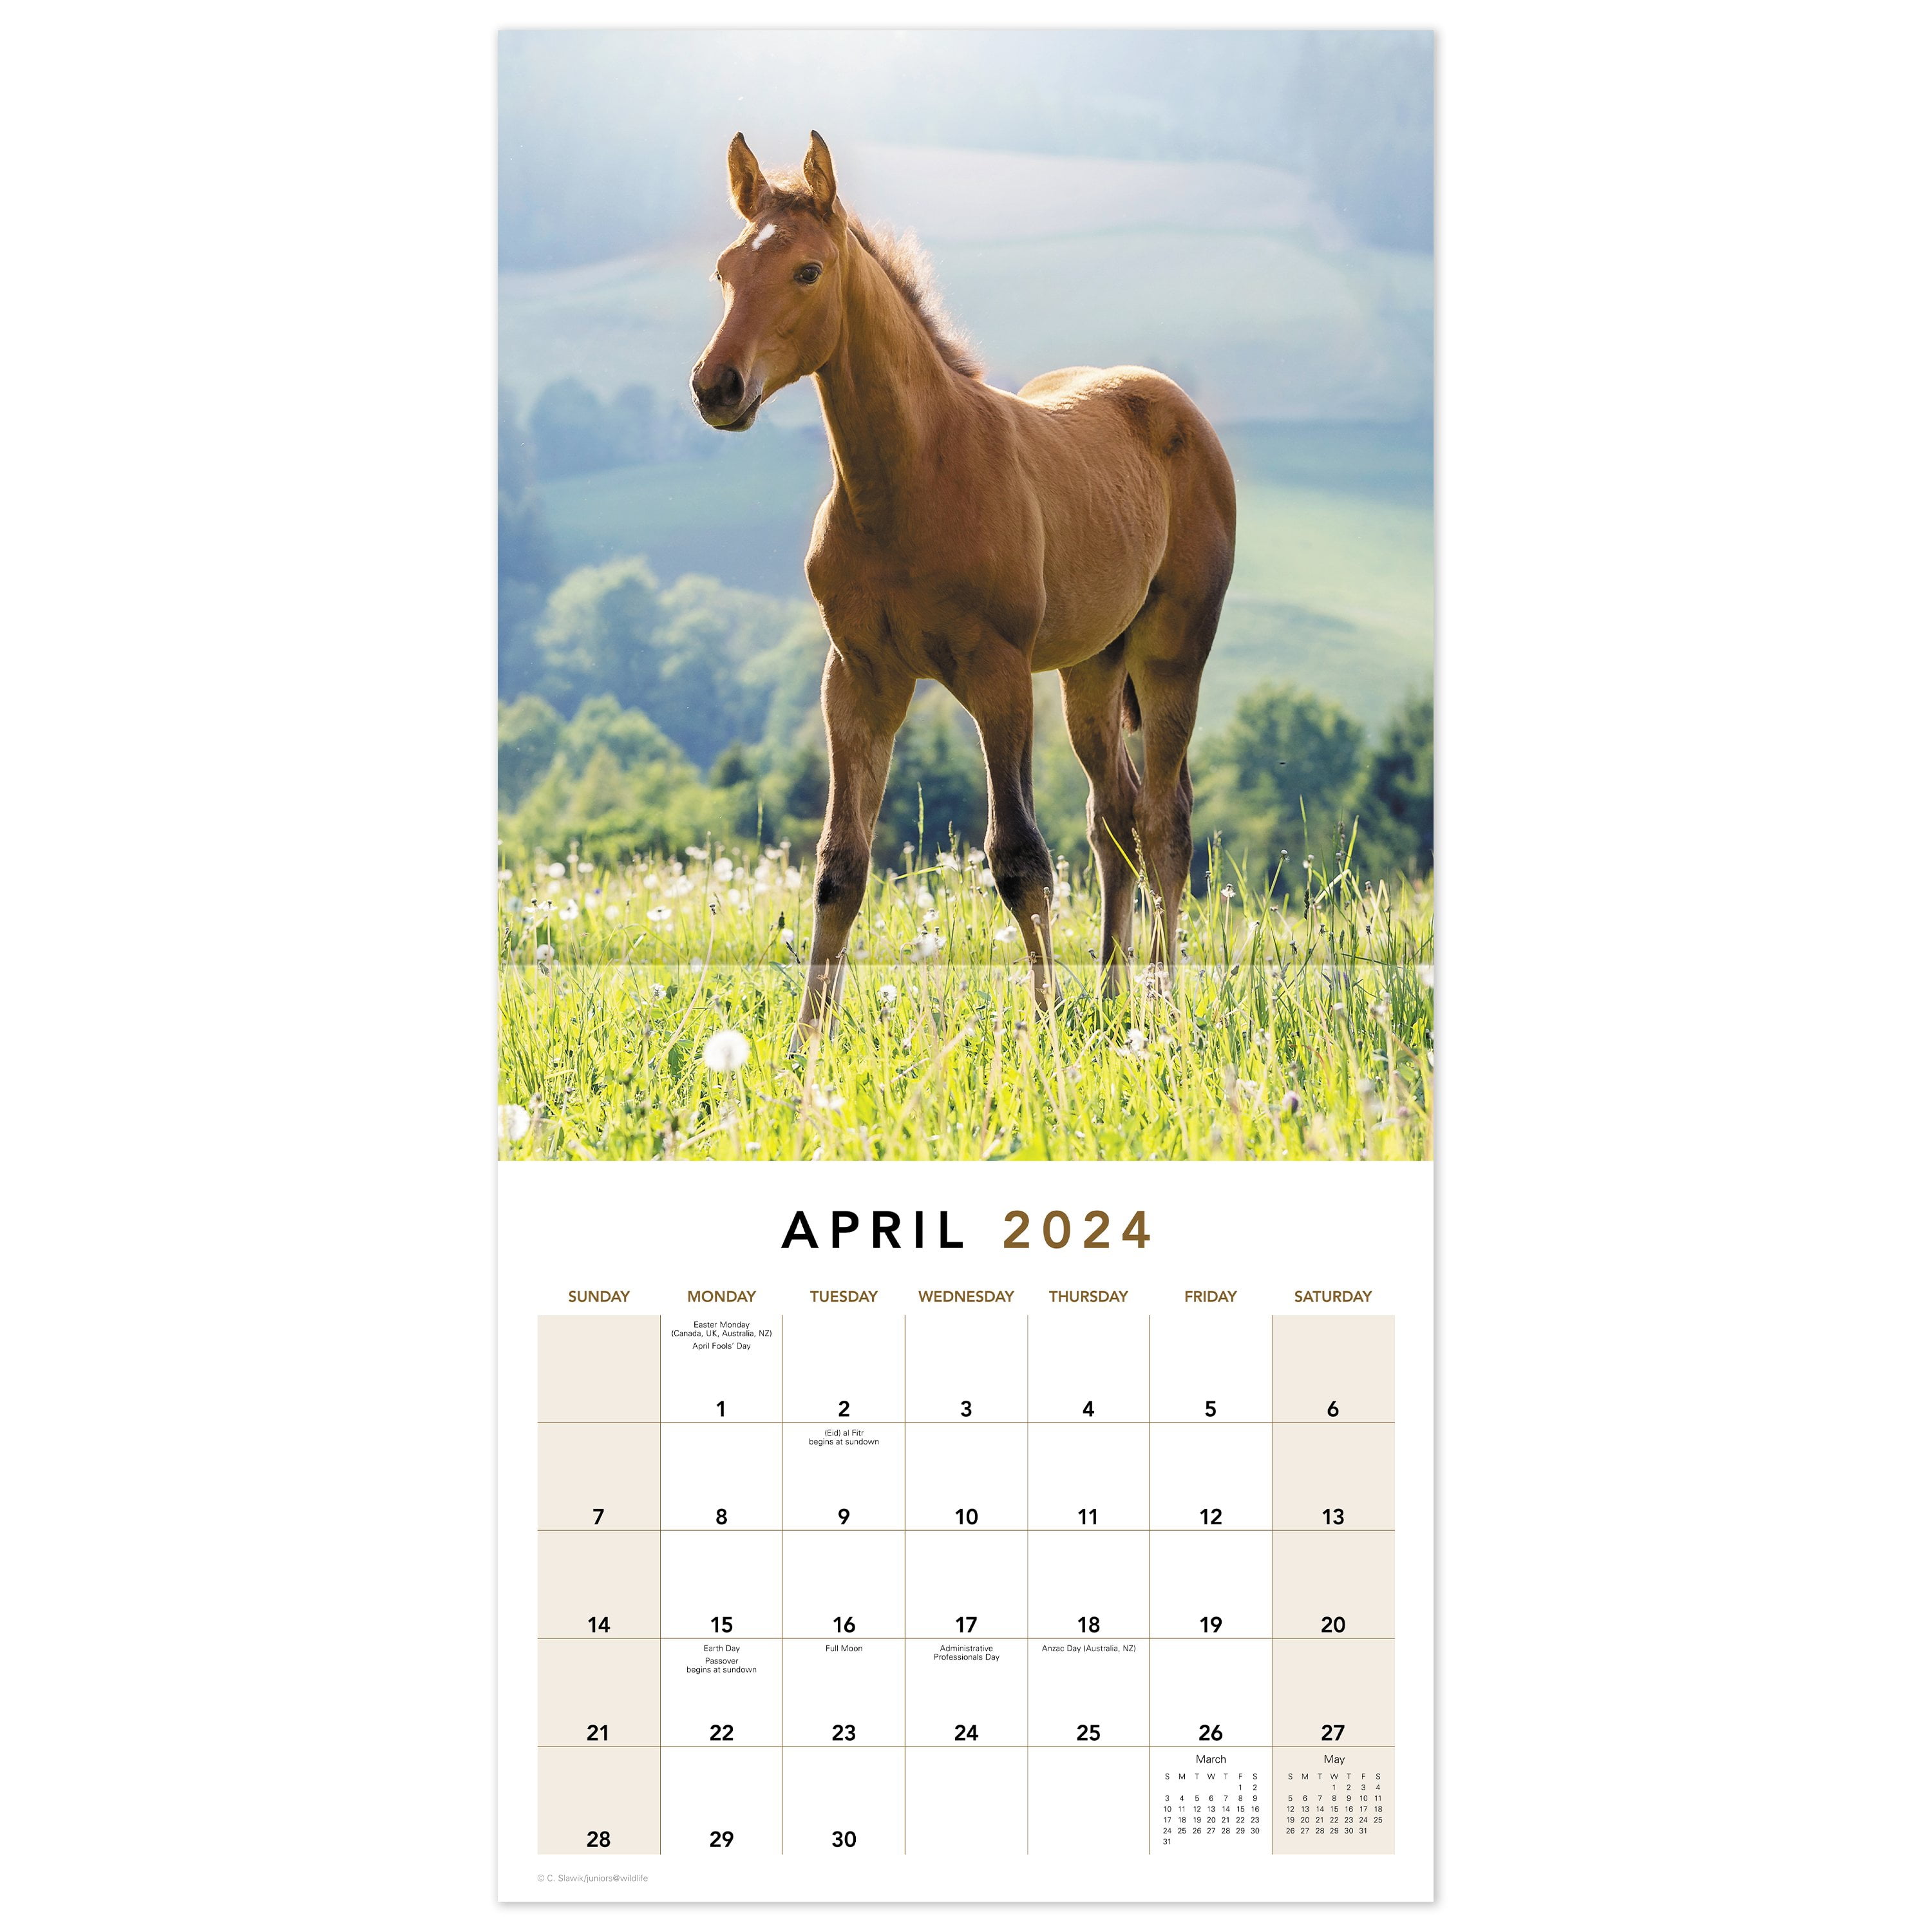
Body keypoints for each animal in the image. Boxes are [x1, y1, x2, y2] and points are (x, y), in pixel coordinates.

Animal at [690, 132, 1236, 1041]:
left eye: (807, 271)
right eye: (726, 270)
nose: (717, 386)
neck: (910, 482)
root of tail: (1174, 406)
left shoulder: (997, 673)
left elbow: (1017, 855)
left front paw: (1046, 1027)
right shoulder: (861, 676)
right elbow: (840, 864)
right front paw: (807, 1041)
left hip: (1171, 652)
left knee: (1165, 822)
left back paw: (1159, 1006)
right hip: (1090, 668)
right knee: (1115, 815)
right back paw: (1112, 996)